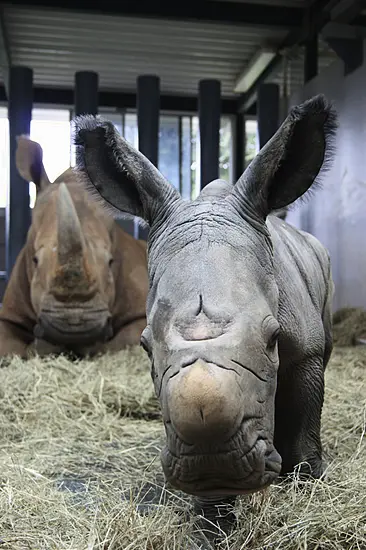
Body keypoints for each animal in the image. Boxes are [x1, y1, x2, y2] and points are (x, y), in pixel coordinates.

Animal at [0, 134, 149, 358]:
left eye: (110, 262)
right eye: (35, 260)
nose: (75, 328)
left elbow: (122, 340)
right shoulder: (9, 312)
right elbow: (8, 345)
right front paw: (40, 347)